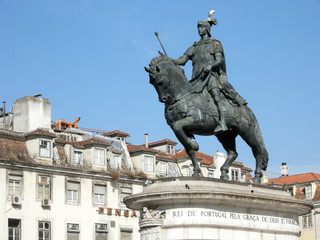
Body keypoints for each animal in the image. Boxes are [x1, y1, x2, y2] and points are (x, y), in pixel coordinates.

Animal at [144, 55, 268, 183]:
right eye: (152, 83)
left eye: (160, 81)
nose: (163, 99)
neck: (182, 96)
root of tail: (247, 110)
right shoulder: (180, 128)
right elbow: (187, 146)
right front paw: (195, 169)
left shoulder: (198, 122)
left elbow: (178, 126)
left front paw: (194, 144)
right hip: (225, 135)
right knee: (233, 153)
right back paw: (224, 173)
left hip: (246, 131)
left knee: (258, 150)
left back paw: (257, 177)